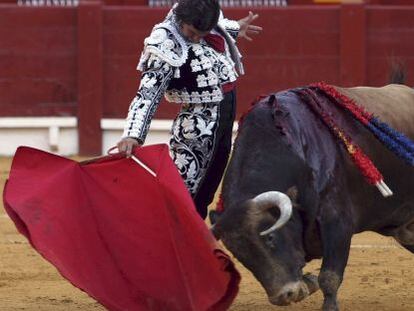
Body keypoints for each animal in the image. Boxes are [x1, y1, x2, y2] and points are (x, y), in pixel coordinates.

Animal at [212, 83, 414, 311]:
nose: (285, 296)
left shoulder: (337, 222)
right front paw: (308, 282)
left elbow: (329, 277)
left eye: (270, 237)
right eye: (239, 255)